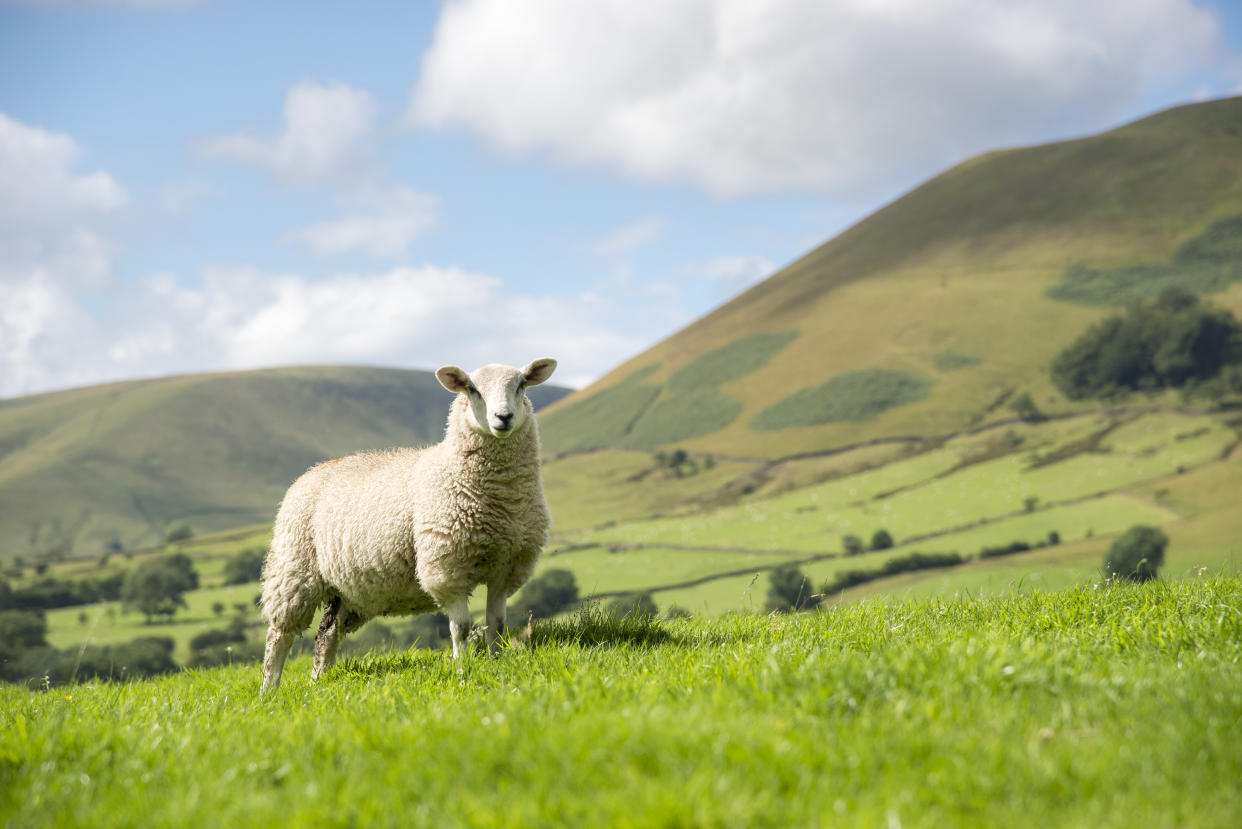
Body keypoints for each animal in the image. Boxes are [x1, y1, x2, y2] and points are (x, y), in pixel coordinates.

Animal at [262, 357, 558, 696]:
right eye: (472, 389)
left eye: (521, 385)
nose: (503, 418)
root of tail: (311, 472)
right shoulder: (446, 566)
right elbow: (461, 628)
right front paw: (462, 669)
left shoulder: (506, 566)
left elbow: (496, 625)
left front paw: (496, 663)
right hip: (294, 571)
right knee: (279, 635)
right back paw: (268, 691)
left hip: (353, 590)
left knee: (327, 632)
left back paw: (319, 682)